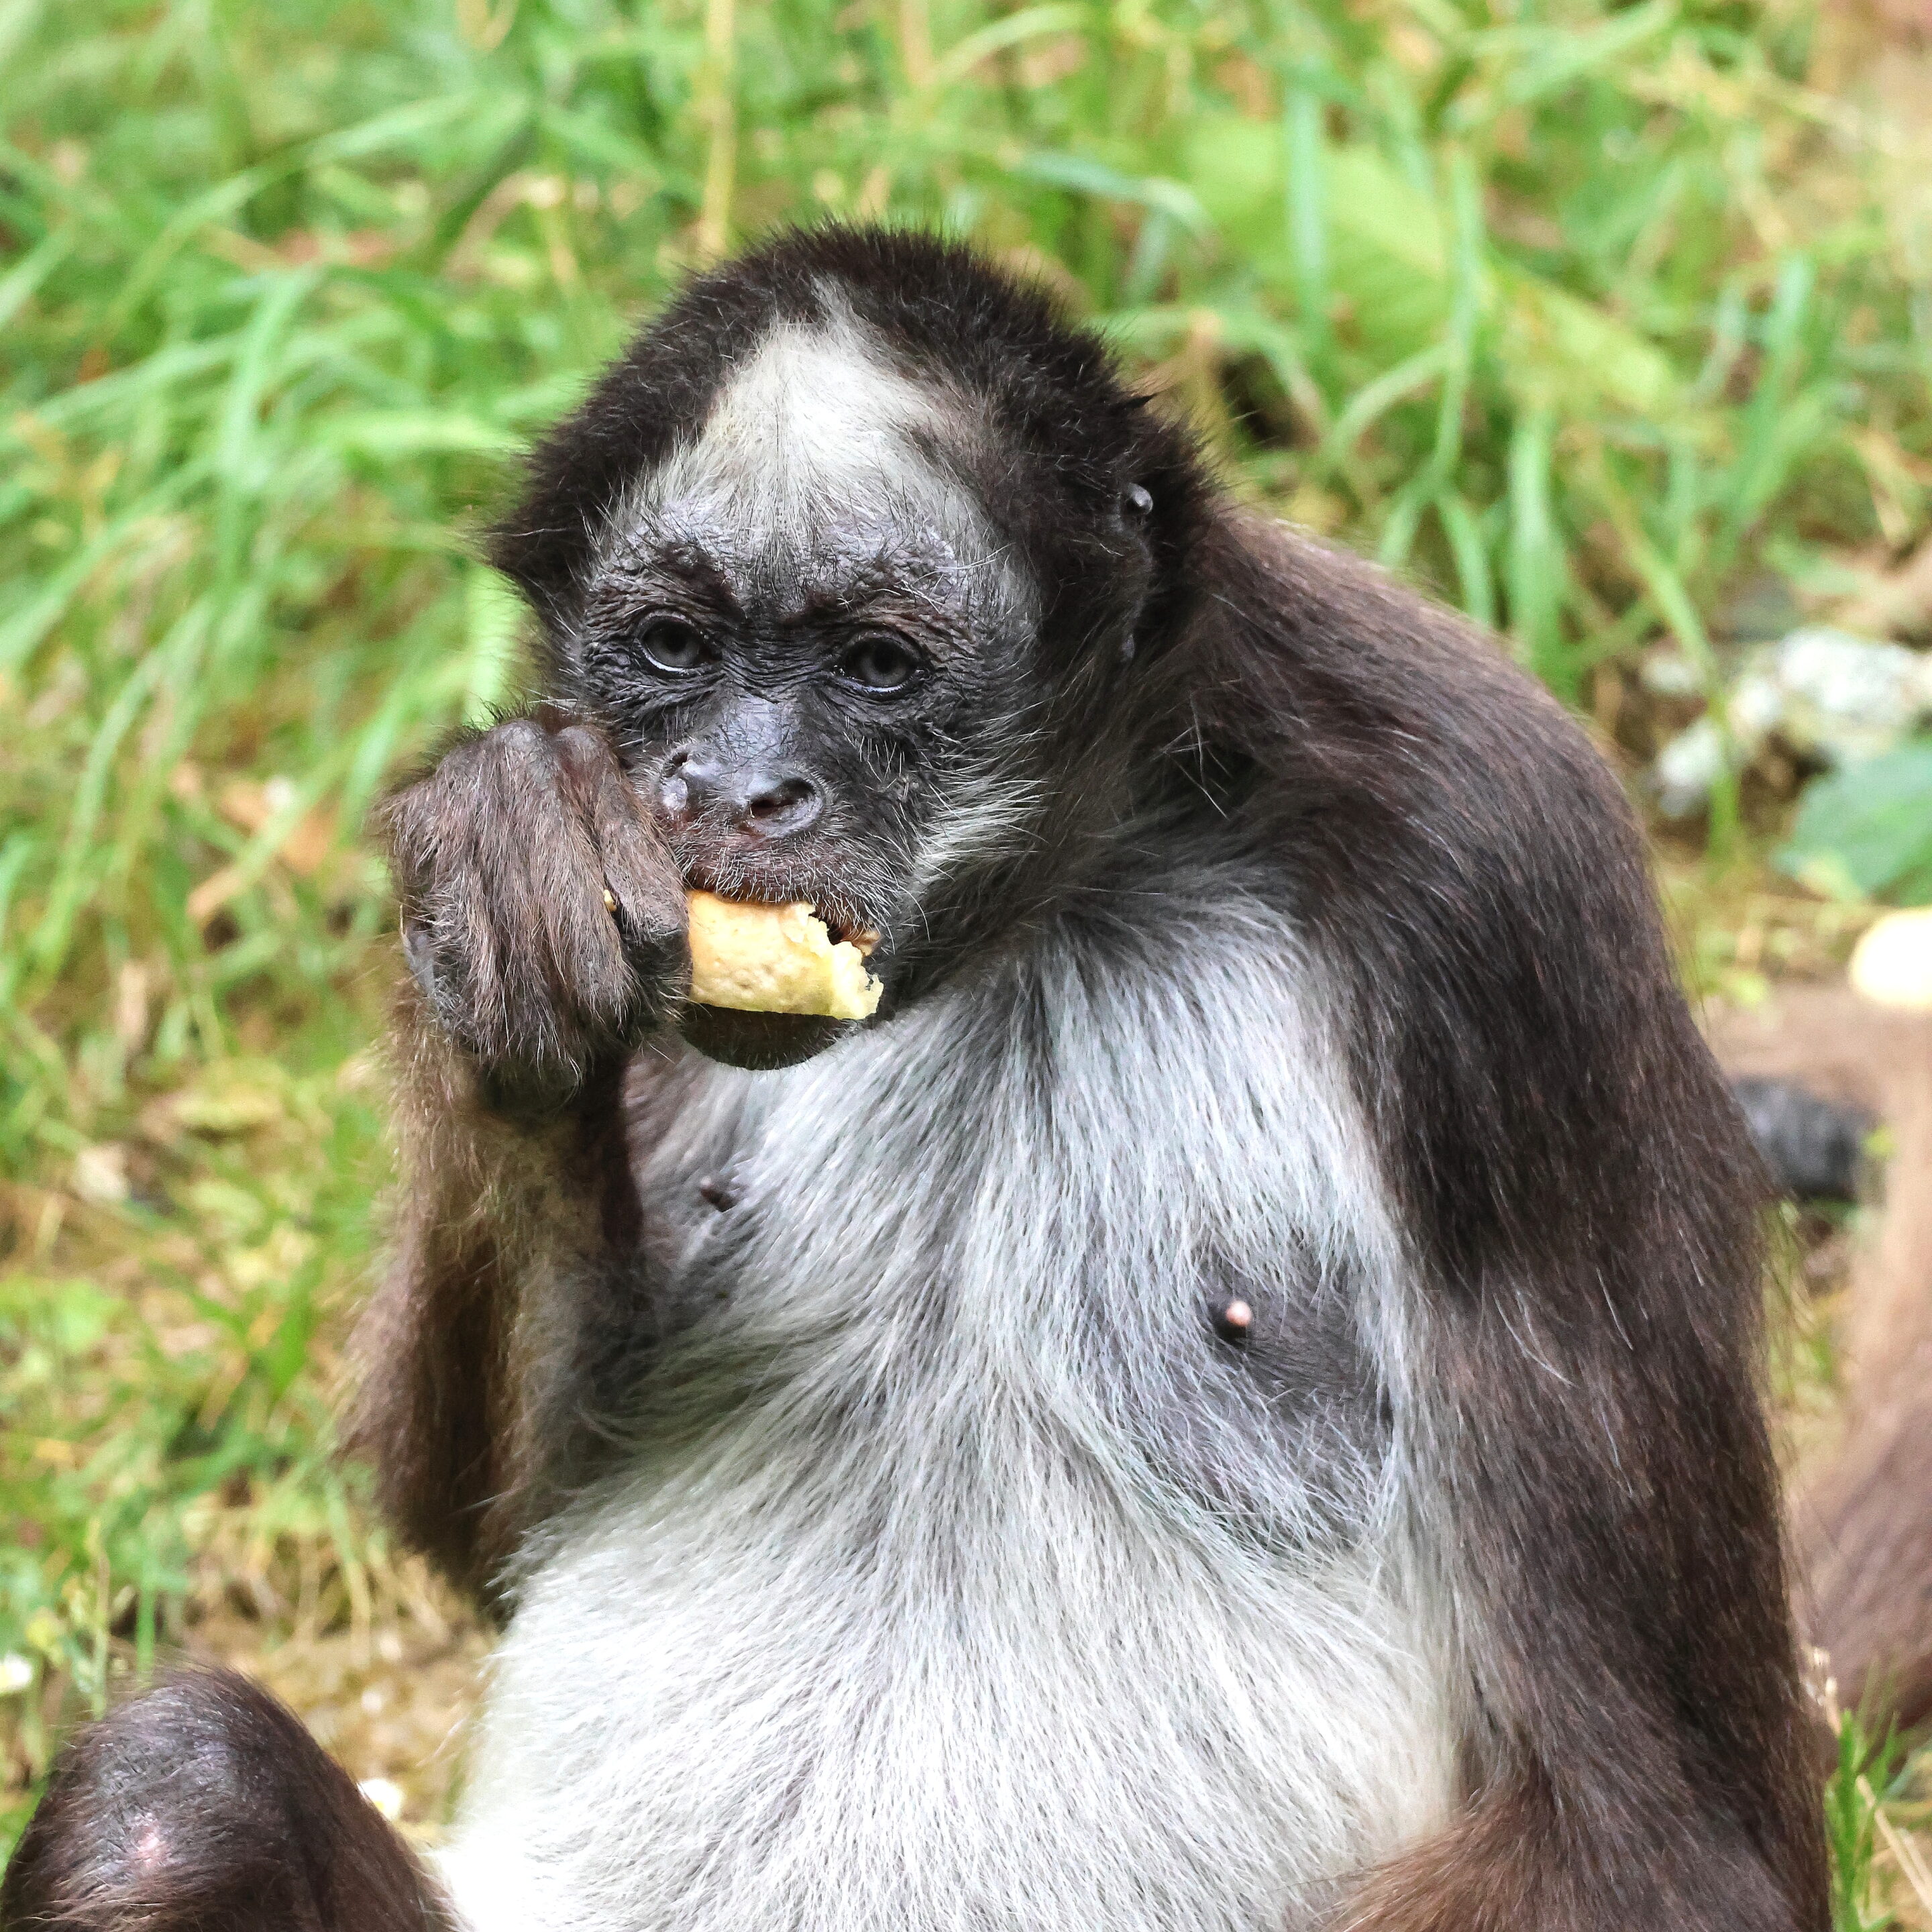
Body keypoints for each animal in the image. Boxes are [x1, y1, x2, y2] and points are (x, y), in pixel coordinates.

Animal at [2, 225, 1828, 1932]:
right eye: (672, 643)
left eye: (877, 664)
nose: (733, 789)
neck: (1045, 915)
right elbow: (479, 1529)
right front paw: (502, 928)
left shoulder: (1498, 880)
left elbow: (1673, 1840)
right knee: (177, 1794)